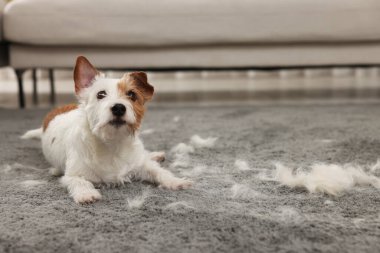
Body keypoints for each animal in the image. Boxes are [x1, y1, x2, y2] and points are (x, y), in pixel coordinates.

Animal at [22, 56, 191, 205]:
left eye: (132, 94)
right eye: (100, 94)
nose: (118, 107)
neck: (112, 143)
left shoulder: (141, 165)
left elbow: (158, 171)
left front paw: (175, 181)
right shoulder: (72, 175)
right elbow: (79, 182)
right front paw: (86, 194)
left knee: (146, 156)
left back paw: (155, 155)